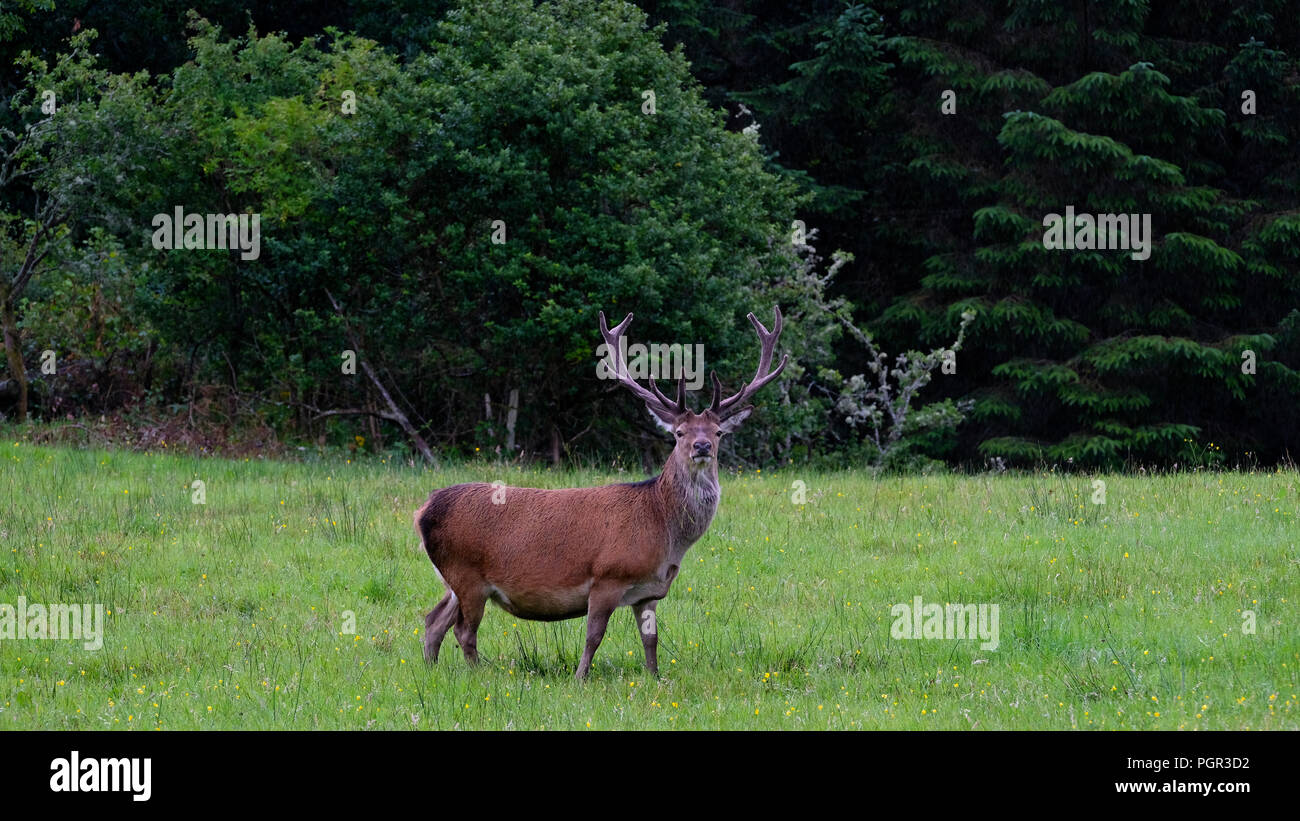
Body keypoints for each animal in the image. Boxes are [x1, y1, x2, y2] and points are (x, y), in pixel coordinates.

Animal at [413, 307, 787, 679]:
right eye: (679, 432)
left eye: (718, 431)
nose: (702, 446)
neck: (663, 528)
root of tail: (423, 511)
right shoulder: (607, 576)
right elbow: (594, 635)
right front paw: (580, 678)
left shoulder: (649, 591)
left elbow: (650, 640)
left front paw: (655, 678)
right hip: (467, 573)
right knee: (463, 630)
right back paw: (479, 674)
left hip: (453, 581)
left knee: (433, 622)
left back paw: (431, 671)